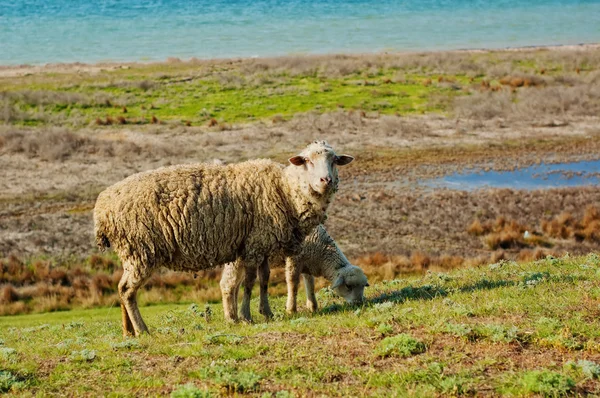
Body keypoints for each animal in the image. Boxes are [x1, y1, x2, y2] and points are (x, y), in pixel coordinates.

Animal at [224, 224, 366, 320]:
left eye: (364, 286)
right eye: (348, 286)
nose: (359, 303)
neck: (322, 249)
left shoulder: (307, 264)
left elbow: (310, 284)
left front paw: (313, 307)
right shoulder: (294, 259)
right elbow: (293, 283)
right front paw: (291, 310)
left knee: (235, 285)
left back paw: (234, 314)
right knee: (227, 284)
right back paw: (231, 317)